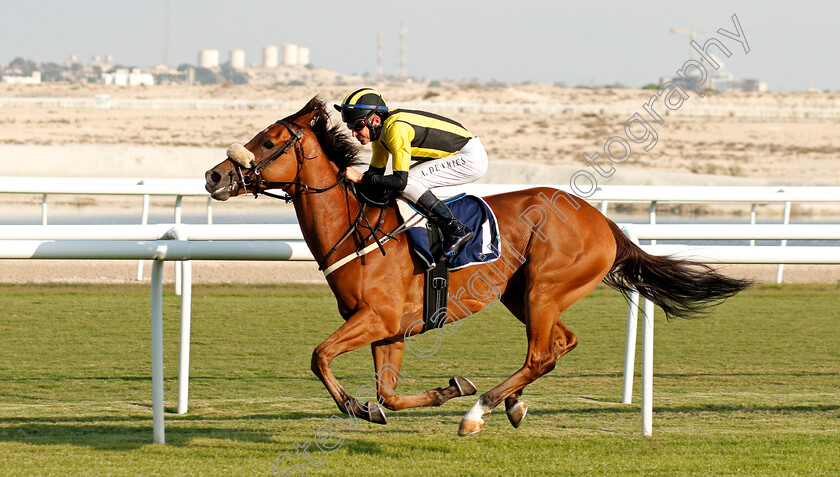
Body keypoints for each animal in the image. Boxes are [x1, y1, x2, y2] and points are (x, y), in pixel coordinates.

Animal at [202, 97, 748, 436]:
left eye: (269, 139)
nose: (213, 176)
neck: (356, 230)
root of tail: (602, 220)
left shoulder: (376, 318)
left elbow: (319, 356)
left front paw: (356, 405)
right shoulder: (389, 328)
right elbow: (389, 395)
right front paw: (434, 392)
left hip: (543, 290)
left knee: (541, 354)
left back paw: (478, 411)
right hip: (522, 294)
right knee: (562, 343)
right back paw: (511, 402)